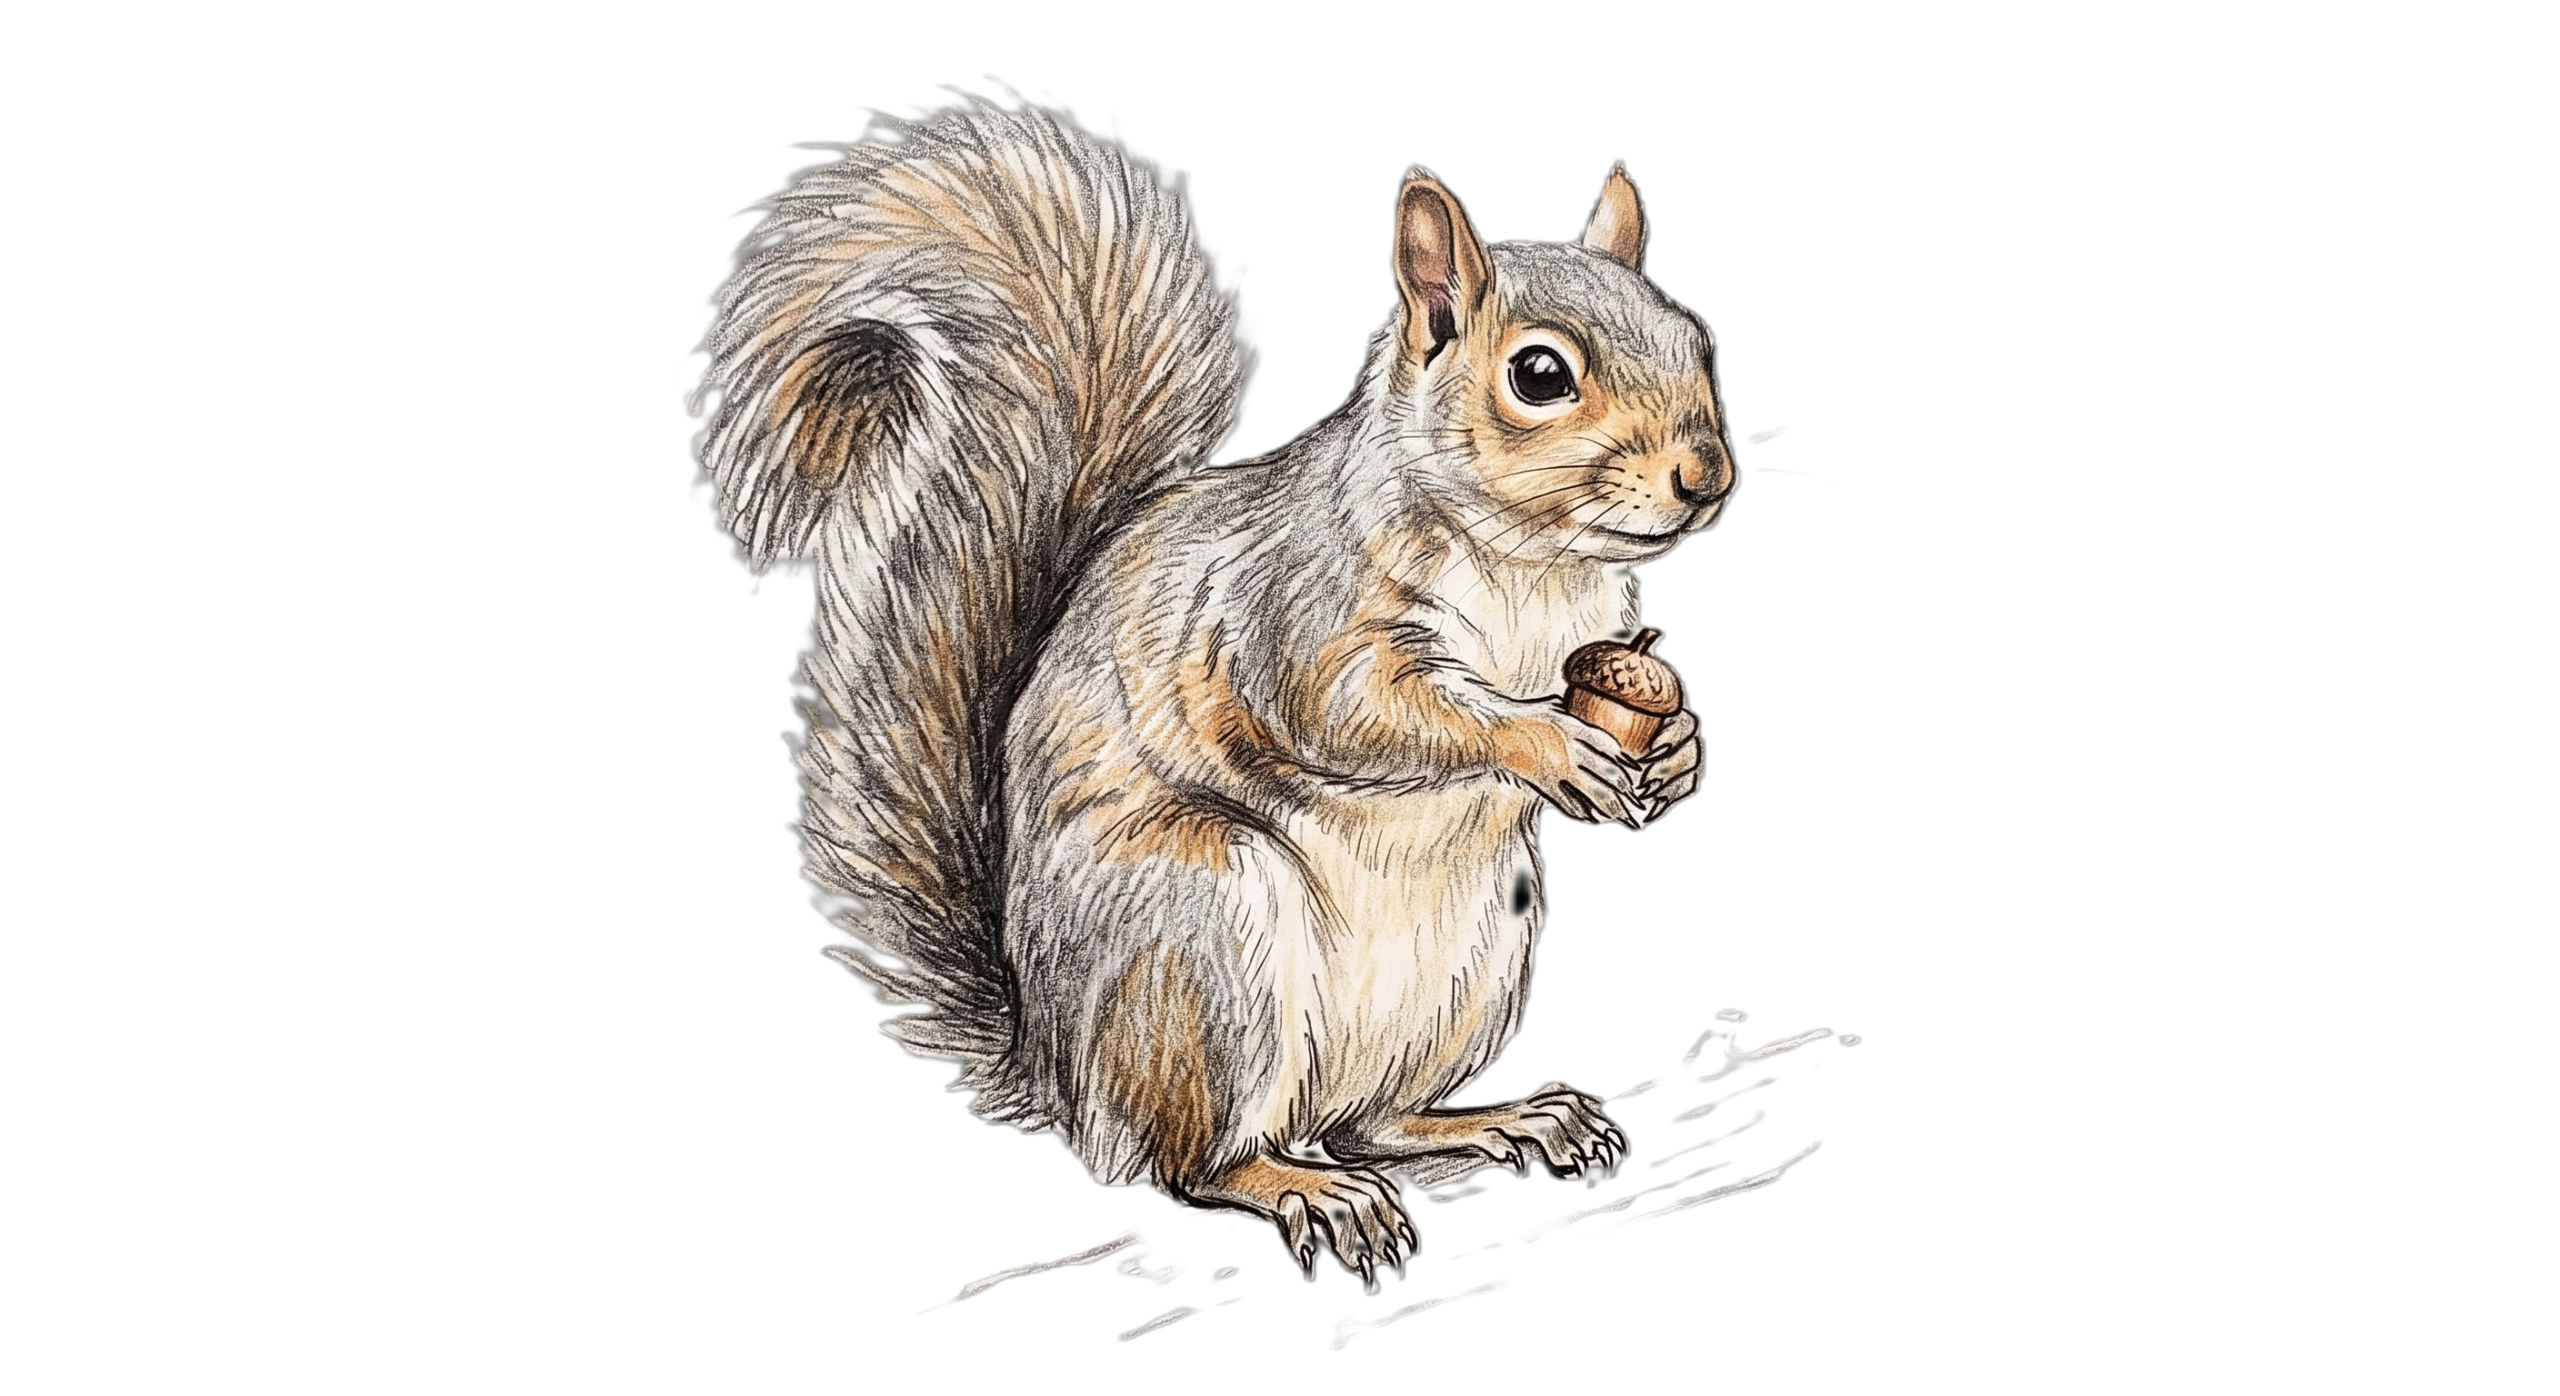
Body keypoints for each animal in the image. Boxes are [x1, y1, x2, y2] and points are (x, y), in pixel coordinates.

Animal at [687, 93, 1738, 1291]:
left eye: (1699, 340)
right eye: (1541, 376)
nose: (1707, 475)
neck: (1533, 565)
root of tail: (1056, 1068)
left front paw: (1680, 746)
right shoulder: (1295, 612)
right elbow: (1362, 710)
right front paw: (1549, 745)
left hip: (1479, 953)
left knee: (1372, 1120)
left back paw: (1507, 1120)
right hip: (1201, 934)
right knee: (1196, 1164)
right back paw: (1304, 1188)